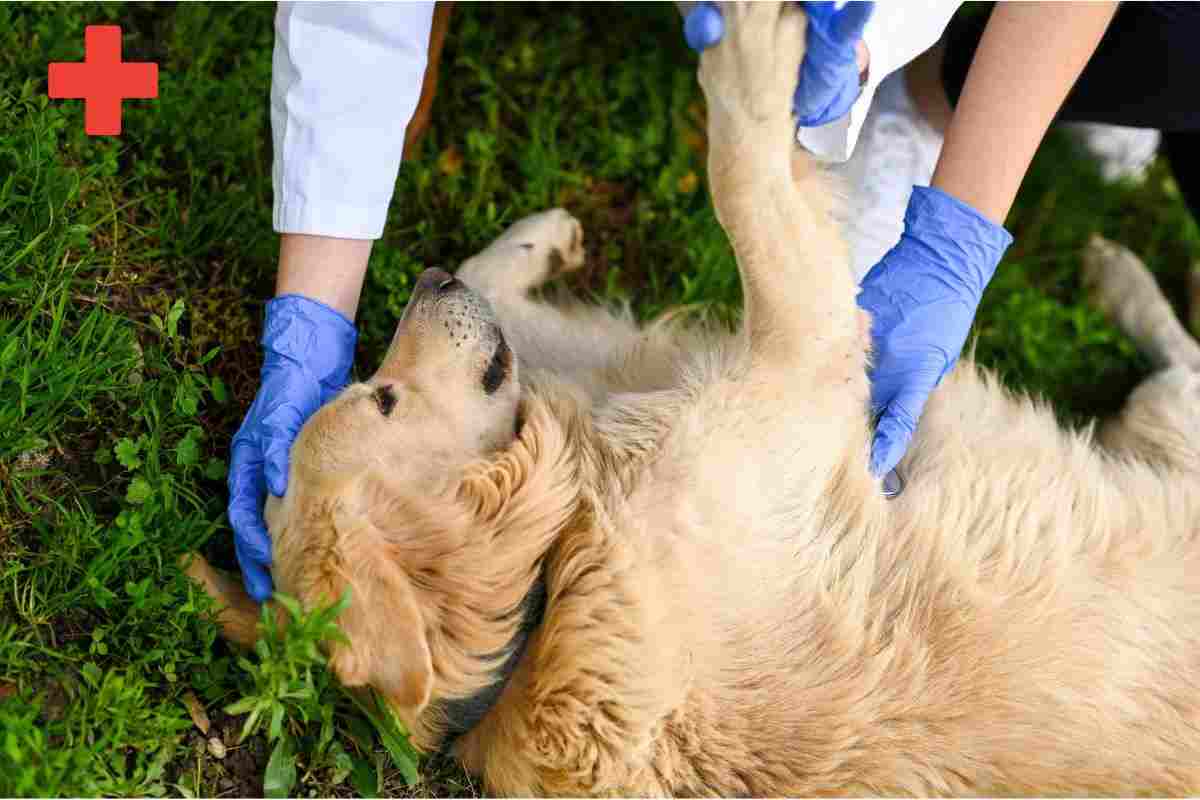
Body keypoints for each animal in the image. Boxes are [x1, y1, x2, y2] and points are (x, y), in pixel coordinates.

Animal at [184, 3, 1200, 796]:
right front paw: (755, 51)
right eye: (385, 400)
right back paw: (1117, 272)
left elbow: (521, 303)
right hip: (1161, 419)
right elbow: (743, 176)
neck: (549, 587)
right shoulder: (802, 354)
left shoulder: (621, 376)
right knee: (1181, 360)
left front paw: (532, 241)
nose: (426, 277)